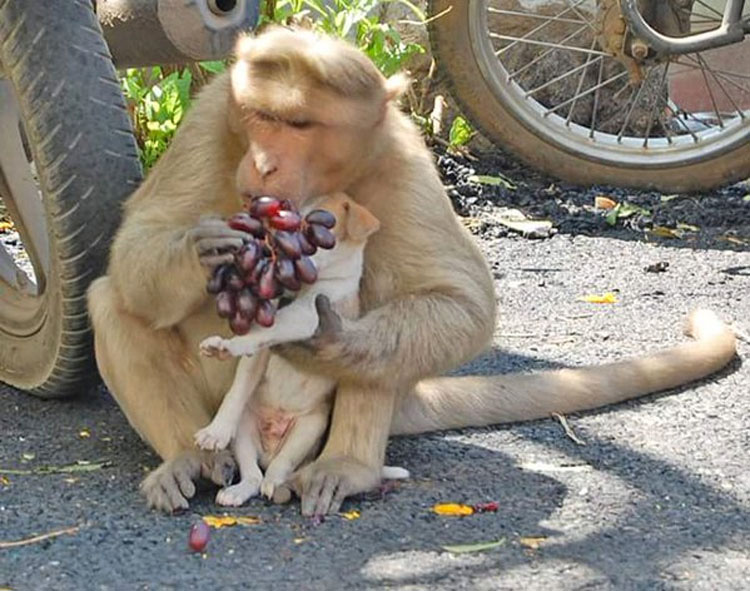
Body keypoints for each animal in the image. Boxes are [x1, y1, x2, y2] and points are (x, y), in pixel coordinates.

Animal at [85, 26, 736, 520]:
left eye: (298, 125)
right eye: (260, 116)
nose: (263, 164)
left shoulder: (400, 157)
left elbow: (457, 300)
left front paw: (327, 341)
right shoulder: (211, 117)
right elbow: (139, 240)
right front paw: (208, 249)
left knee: (387, 325)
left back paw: (342, 466)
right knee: (114, 300)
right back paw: (187, 460)